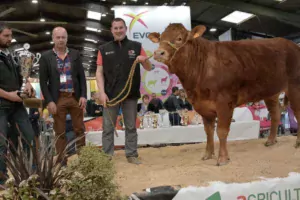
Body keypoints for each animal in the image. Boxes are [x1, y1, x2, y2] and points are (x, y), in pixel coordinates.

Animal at [147, 23, 300, 166]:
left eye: (179, 38)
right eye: (160, 38)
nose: (158, 53)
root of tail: (292, 44)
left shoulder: (224, 102)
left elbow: (221, 131)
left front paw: (222, 158)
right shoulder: (203, 106)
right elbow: (208, 131)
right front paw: (208, 154)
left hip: (294, 87)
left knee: (297, 113)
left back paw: (297, 143)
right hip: (271, 92)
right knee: (275, 114)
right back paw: (271, 140)